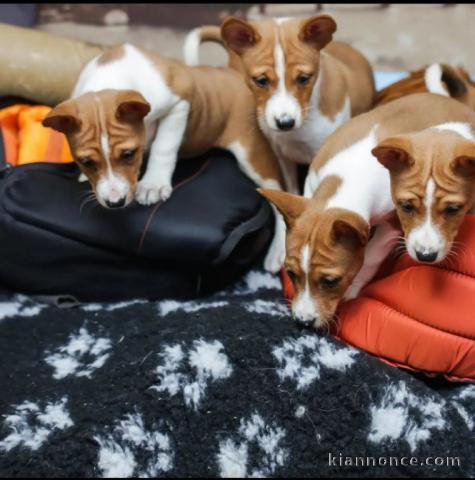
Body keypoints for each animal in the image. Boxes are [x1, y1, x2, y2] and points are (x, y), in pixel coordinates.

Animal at [44, 43, 288, 272]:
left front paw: (153, 184)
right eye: (86, 162)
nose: (115, 203)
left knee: (279, 198)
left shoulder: (179, 104)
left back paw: (278, 251)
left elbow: (164, 146)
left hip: (253, 157)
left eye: (129, 154)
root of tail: (232, 72)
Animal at [258, 92, 475, 328]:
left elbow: (370, 257)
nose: (303, 322)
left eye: (331, 281)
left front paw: (352, 288)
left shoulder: (393, 223)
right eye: (290, 273)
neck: (347, 180)